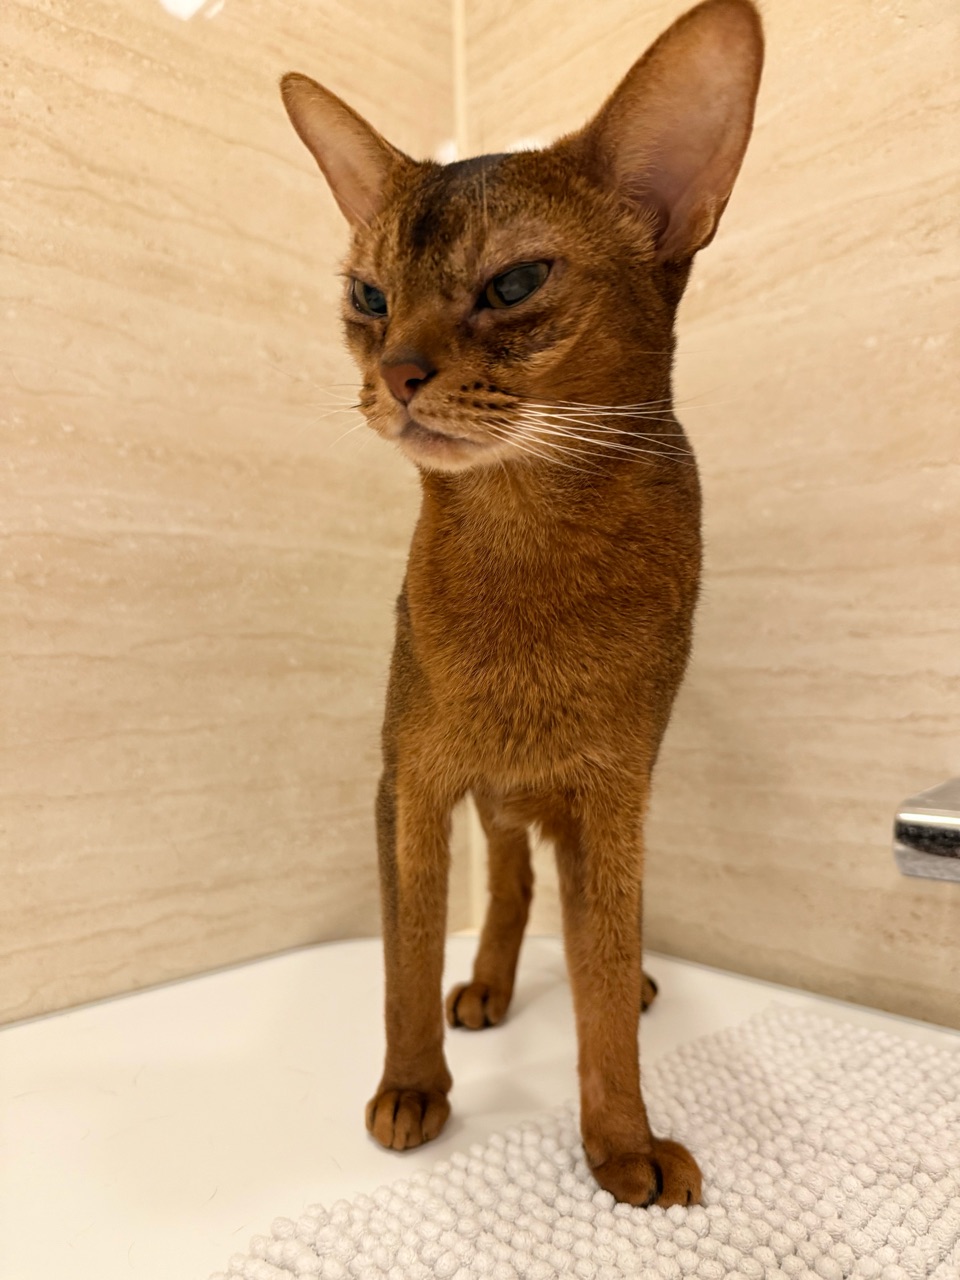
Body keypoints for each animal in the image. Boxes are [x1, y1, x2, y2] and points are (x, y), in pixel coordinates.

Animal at [280, 0, 763, 1208]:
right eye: (368, 296)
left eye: (512, 284)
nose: (394, 373)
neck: (526, 541)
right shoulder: (410, 780)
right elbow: (406, 958)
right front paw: (412, 1089)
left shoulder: (614, 790)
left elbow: (601, 972)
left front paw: (623, 1142)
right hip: (490, 796)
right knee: (505, 889)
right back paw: (488, 989)